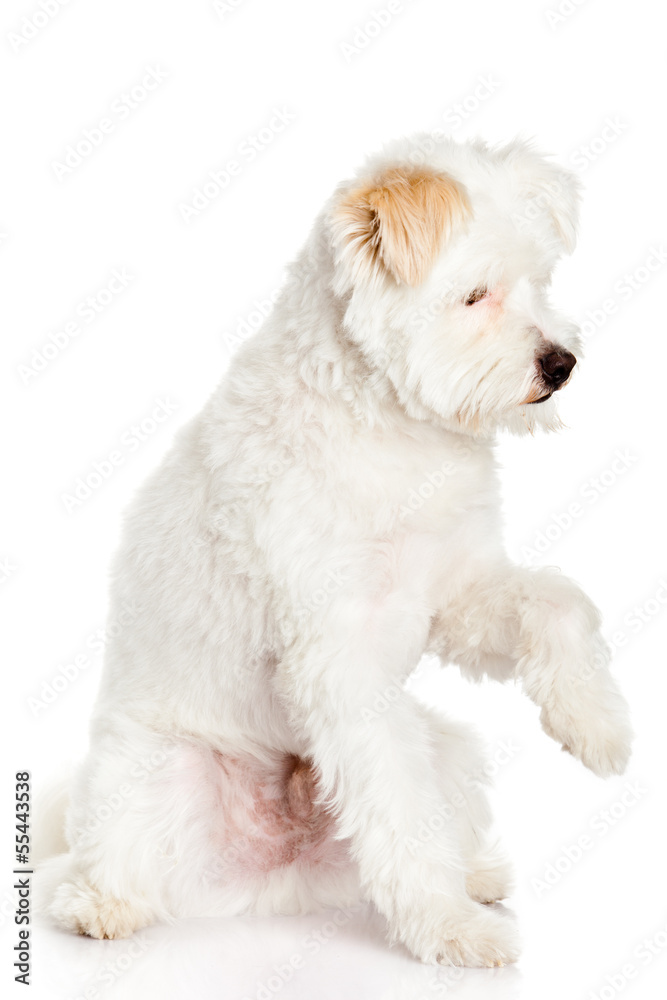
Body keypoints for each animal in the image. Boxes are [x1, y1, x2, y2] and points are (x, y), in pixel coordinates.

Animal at [39, 137, 636, 964]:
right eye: (474, 295)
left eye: (537, 281)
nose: (561, 364)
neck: (389, 425)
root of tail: (278, 877)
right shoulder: (340, 657)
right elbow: (399, 809)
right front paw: (448, 931)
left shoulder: (455, 594)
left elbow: (560, 601)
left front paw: (596, 726)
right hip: (151, 775)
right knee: (94, 872)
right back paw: (100, 905)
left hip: (447, 746)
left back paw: (476, 872)